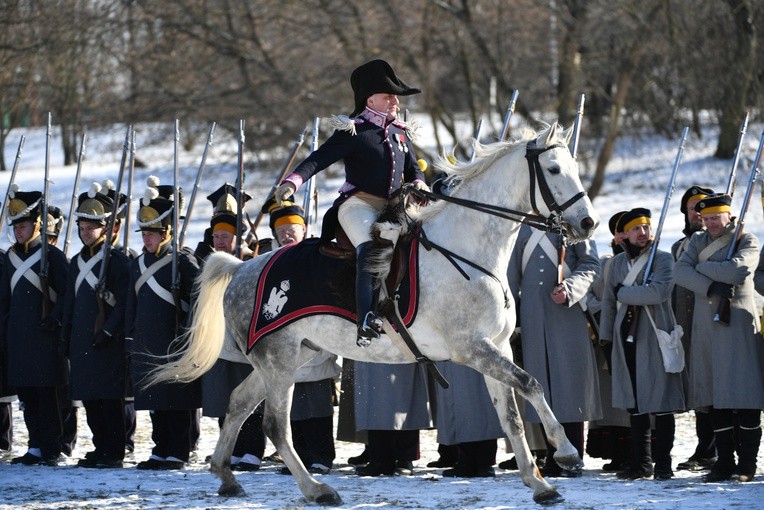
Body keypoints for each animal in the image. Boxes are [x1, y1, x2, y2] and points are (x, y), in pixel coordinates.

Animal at [149, 122, 600, 506]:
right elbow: (531, 385)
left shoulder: (497, 347)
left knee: (240, 403)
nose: (588, 223)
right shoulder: (472, 349)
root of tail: (242, 268)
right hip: (278, 360)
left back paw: (227, 477)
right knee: (274, 424)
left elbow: (512, 415)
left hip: (293, 358)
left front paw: (540, 484)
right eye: (554, 169)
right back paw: (316, 490)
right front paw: (567, 453)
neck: (468, 251)